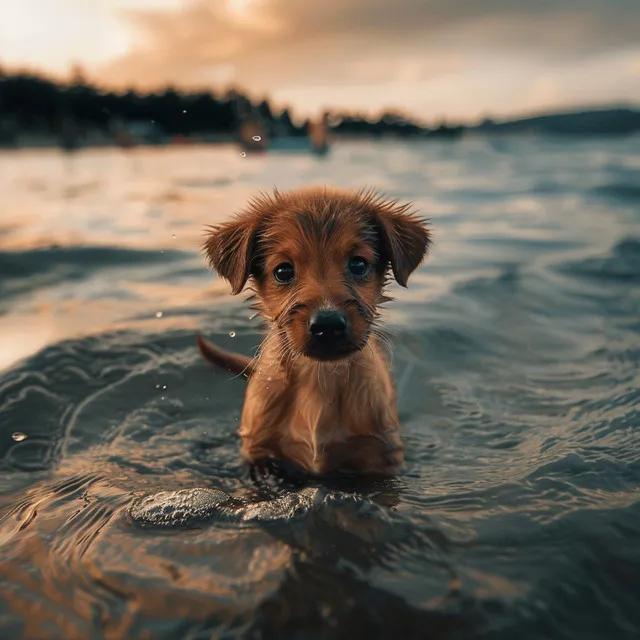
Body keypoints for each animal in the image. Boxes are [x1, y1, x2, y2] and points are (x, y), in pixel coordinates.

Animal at [198, 185, 432, 476]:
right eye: (283, 271)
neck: (319, 379)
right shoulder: (259, 453)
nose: (327, 325)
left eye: (358, 264)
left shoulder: (380, 455)